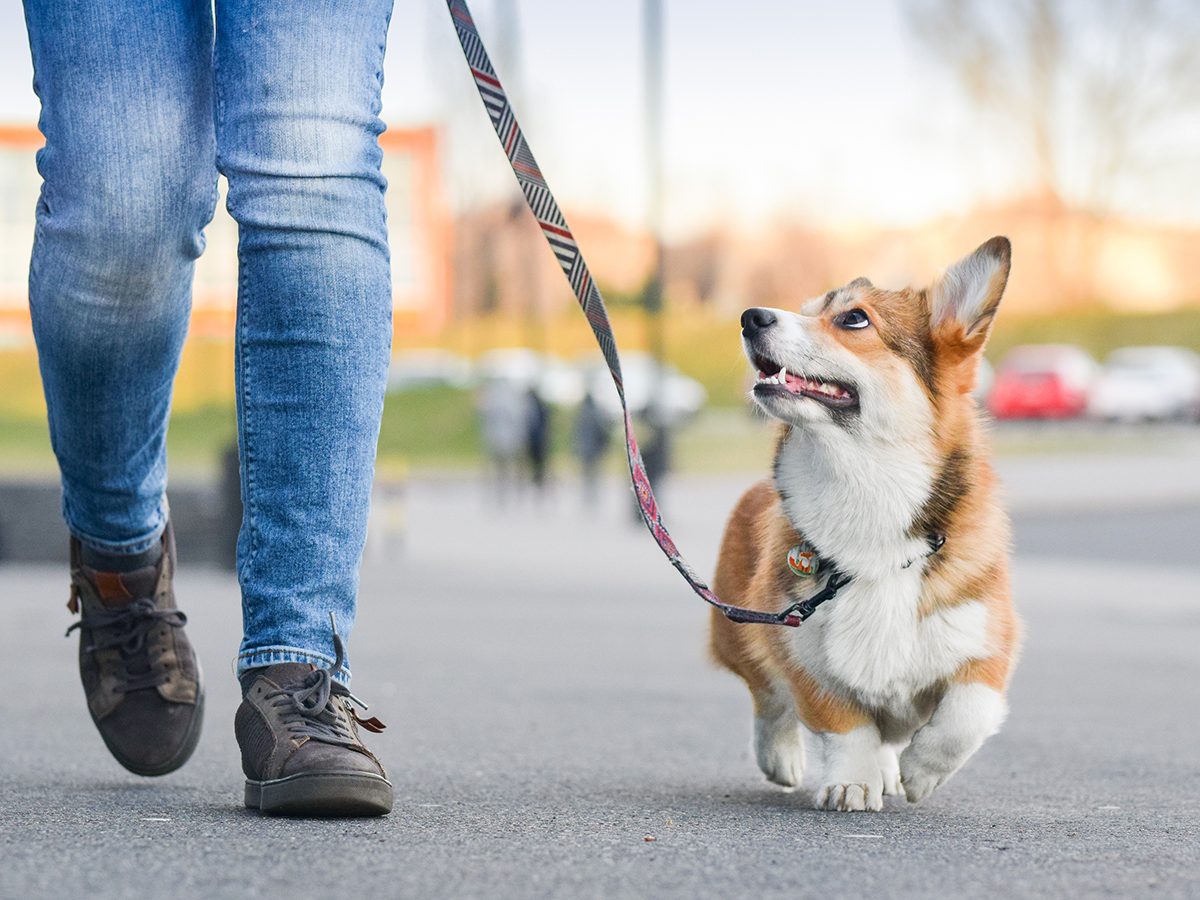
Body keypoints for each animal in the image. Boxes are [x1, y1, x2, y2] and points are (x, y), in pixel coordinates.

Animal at [710, 236, 1022, 816]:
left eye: (853, 318)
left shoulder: (987, 641)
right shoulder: (800, 647)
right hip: (739, 630)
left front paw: (921, 772)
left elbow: (966, 714)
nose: (750, 316)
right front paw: (852, 782)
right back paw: (783, 757)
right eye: (806, 309)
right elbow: (844, 724)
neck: (866, 489)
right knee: (768, 697)